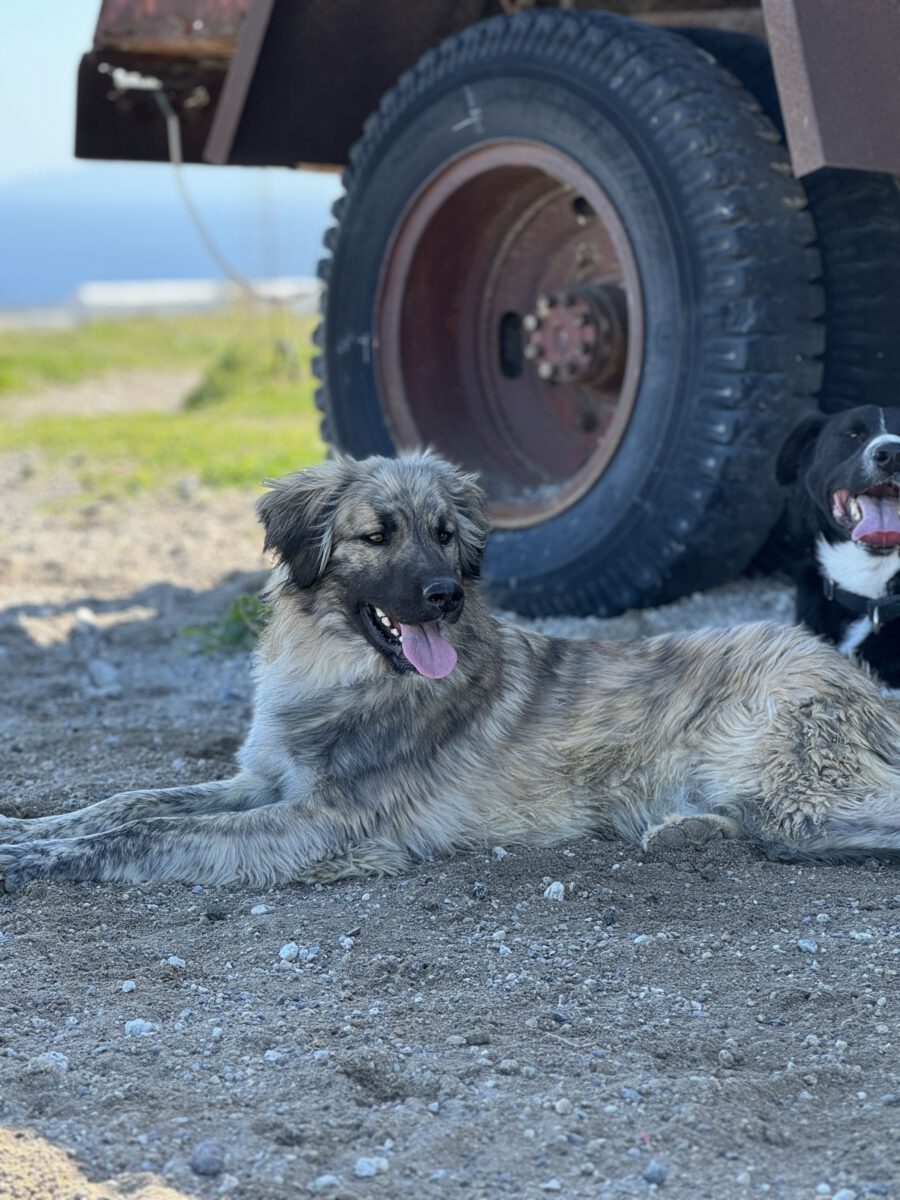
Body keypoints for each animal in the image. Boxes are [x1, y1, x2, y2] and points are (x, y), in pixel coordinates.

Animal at [4, 451, 900, 890]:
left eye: (444, 533)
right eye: (378, 535)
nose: (444, 595)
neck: (342, 669)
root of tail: (860, 684)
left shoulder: (324, 823)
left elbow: (144, 832)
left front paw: (28, 862)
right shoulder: (266, 781)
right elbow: (124, 803)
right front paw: (24, 831)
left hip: (792, 788)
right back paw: (687, 833)